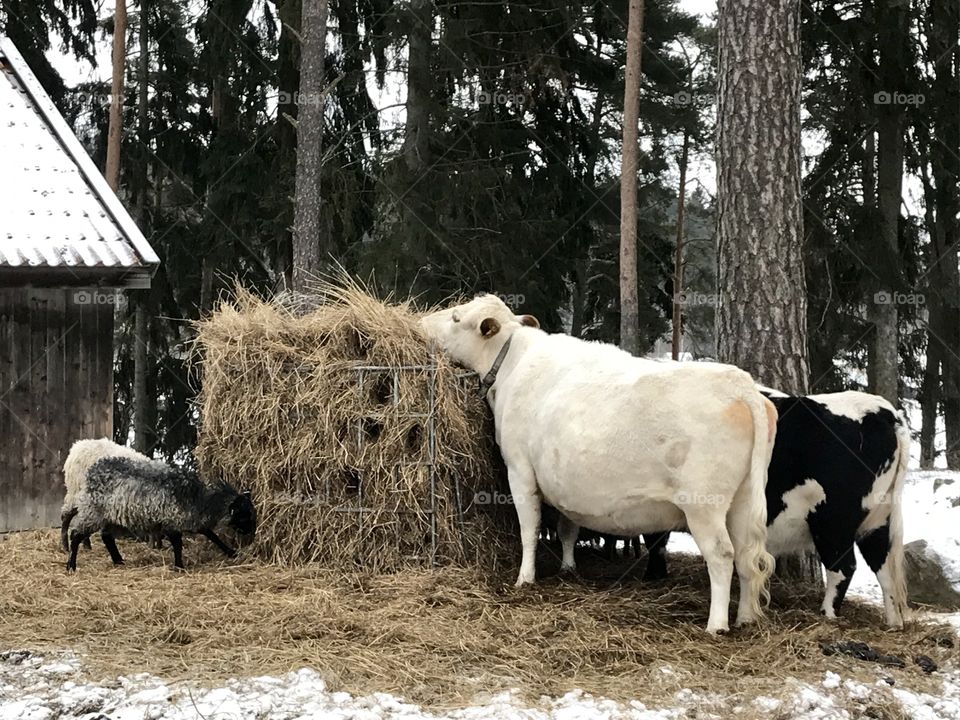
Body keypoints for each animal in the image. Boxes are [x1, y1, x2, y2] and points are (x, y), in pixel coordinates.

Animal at [421, 294, 777, 633]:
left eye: (456, 317)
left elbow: (529, 528)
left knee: (722, 554)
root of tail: (741, 385)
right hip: (744, 498)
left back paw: (717, 624)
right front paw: (568, 568)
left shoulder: (519, 469)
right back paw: (746, 618)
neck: (512, 364)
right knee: (747, 555)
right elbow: (567, 528)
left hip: (704, 504)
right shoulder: (563, 484)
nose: (423, 321)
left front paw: (525, 578)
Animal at [639, 388, 910, 629]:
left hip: (832, 521)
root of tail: (883, 411)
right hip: (876, 520)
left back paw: (827, 615)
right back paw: (893, 623)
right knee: (884, 569)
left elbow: (655, 540)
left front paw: (652, 576)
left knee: (843, 568)